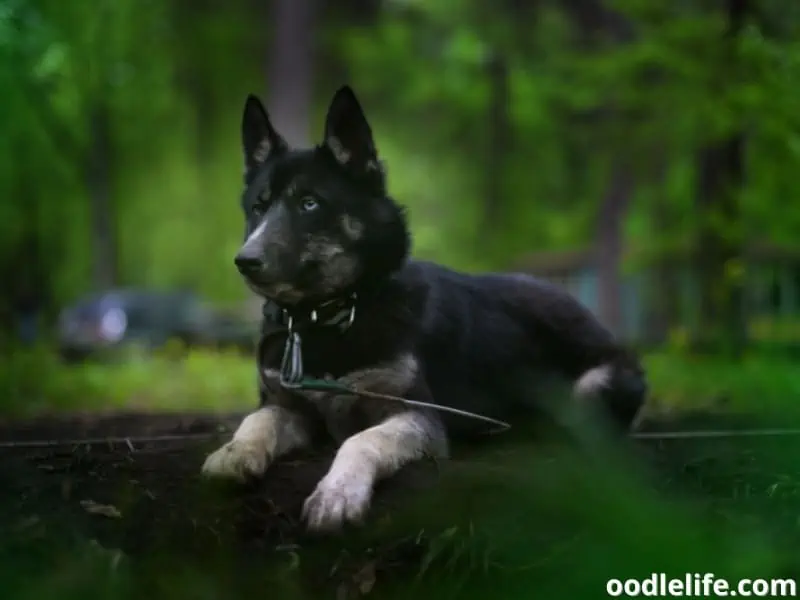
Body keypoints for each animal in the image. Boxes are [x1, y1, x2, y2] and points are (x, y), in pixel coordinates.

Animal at [203, 83, 648, 528]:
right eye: (258, 207)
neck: (335, 314)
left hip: (590, 389)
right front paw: (232, 455)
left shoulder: (415, 416)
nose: (245, 260)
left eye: (309, 203)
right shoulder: (288, 407)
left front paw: (338, 492)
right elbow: (255, 421)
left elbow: (361, 441)